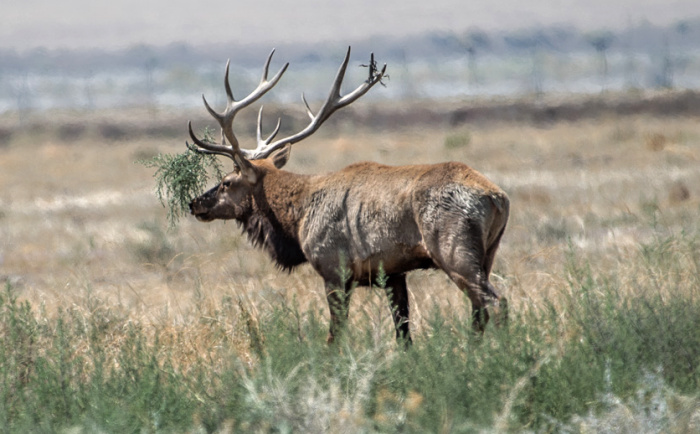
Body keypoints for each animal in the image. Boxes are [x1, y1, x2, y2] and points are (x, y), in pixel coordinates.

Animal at [186, 47, 508, 344]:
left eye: (226, 182)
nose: (195, 203)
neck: (297, 217)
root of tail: (498, 198)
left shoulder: (333, 269)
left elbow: (335, 336)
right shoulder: (393, 274)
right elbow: (403, 334)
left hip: (454, 251)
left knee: (495, 302)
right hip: (487, 254)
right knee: (480, 310)